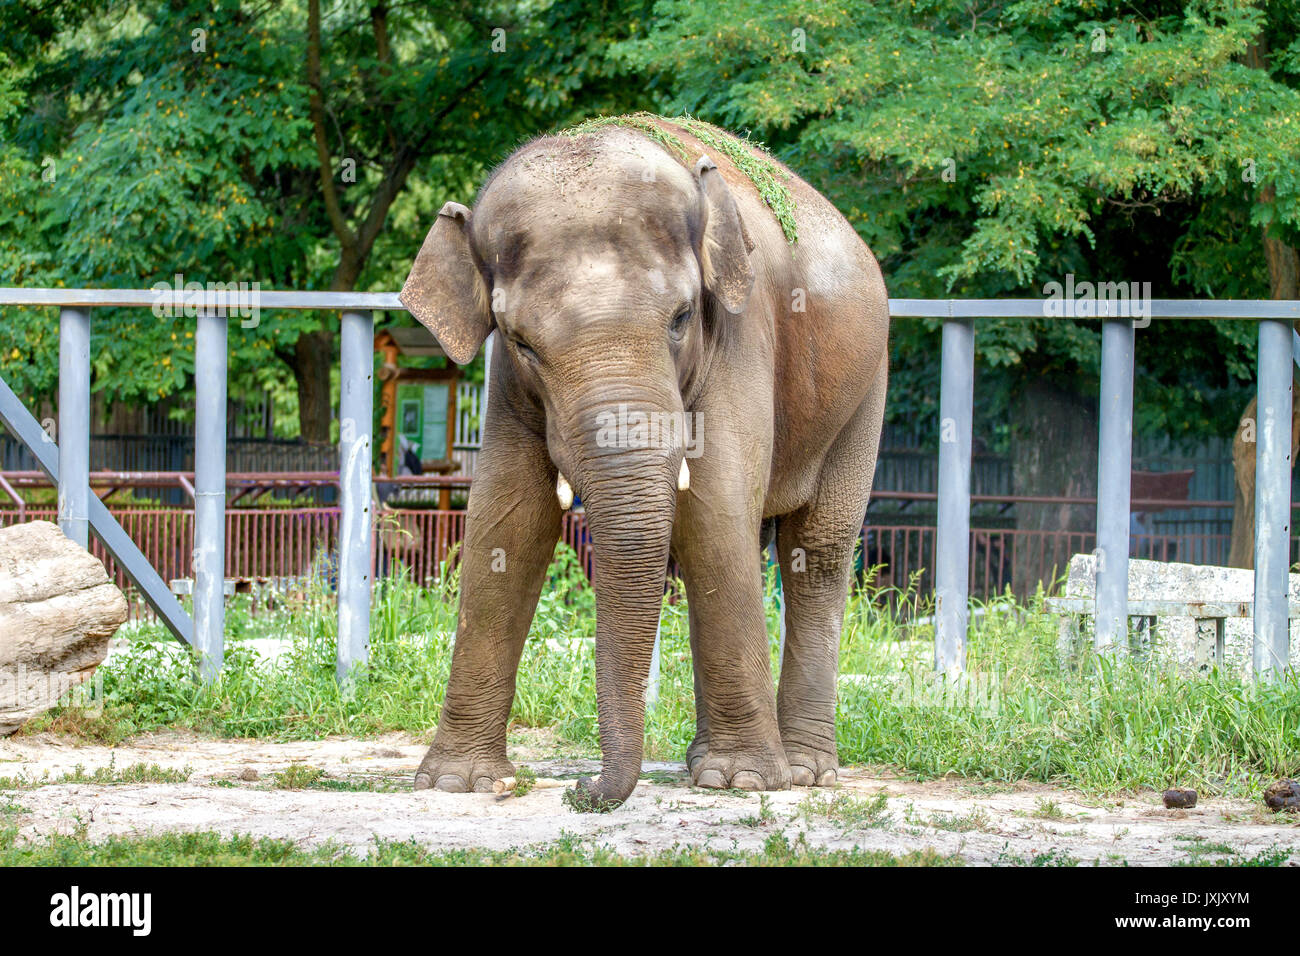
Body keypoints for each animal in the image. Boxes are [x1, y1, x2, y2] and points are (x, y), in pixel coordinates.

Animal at [400, 115, 889, 811]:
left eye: (681, 318)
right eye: (521, 342)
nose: (580, 787)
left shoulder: (740, 337)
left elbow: (714, 513)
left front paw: (746, 781)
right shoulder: (511, 388)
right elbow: (507, 523)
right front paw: (459, 784)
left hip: (865, 387)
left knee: (815, 550)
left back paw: (801, 770)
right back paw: (706, 763)